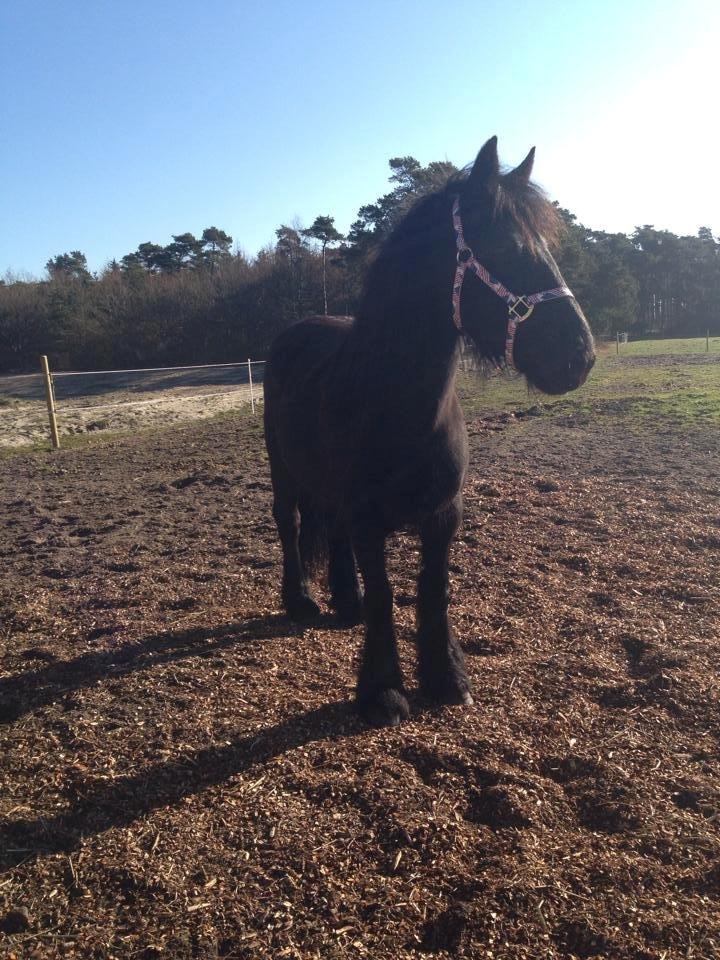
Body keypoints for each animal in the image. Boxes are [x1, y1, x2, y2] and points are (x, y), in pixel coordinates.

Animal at [263, 137, 595, 727]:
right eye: (507, 246)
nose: (579, 355)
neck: (397, 405)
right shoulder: (369, 518)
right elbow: (384, 595)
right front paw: (382, 692)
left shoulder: (444, 513)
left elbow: (433, 591)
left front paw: (446, 679)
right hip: (282, 467)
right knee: (290, 521)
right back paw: (300, 600)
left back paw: (344, 604)